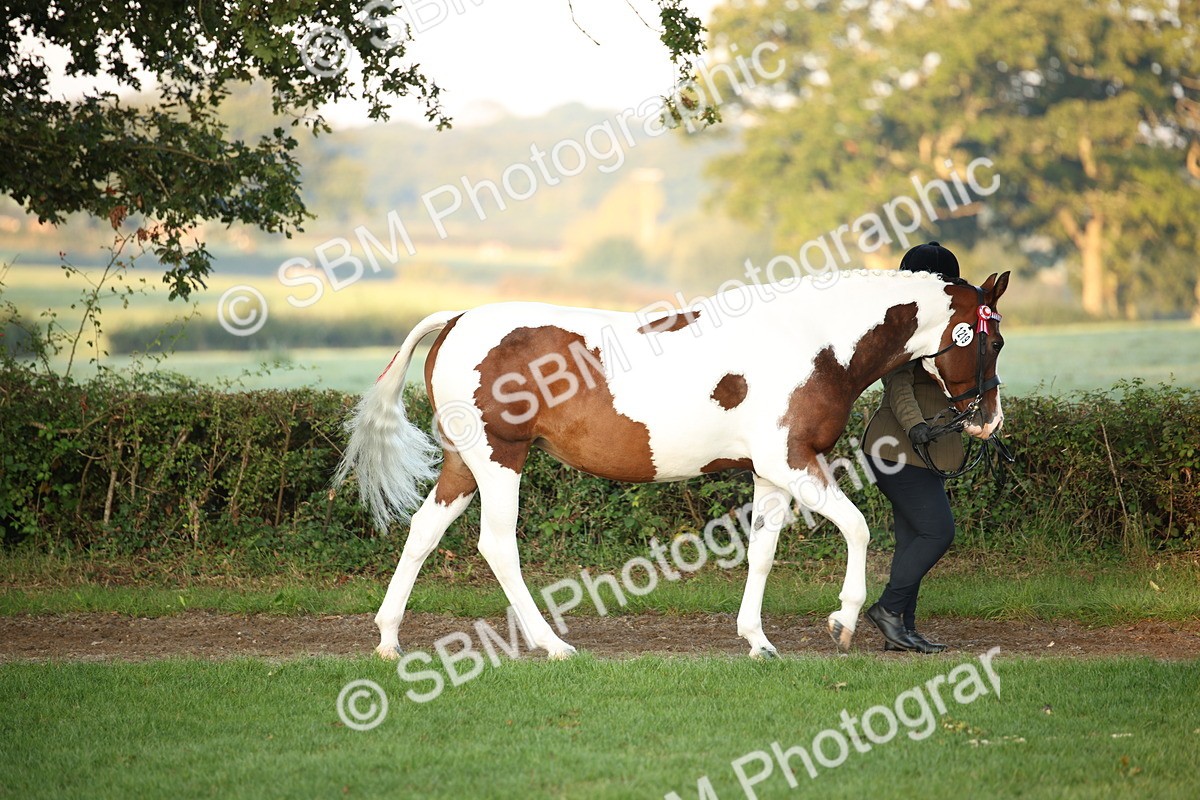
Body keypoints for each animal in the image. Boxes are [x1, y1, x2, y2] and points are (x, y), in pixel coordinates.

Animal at [334, 268, 1010, 660]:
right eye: (994, 340)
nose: (988, 421)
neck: (812, 339)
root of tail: (455, 320)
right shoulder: (793, 460)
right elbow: (859, 527)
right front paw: (843, 620)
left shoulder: (770, 471)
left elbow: (762, 552)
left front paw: (757, 640)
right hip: (500, 457)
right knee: (497, 546)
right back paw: (552, 646)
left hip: (463, 463)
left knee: (424, 530)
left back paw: (388, 639)